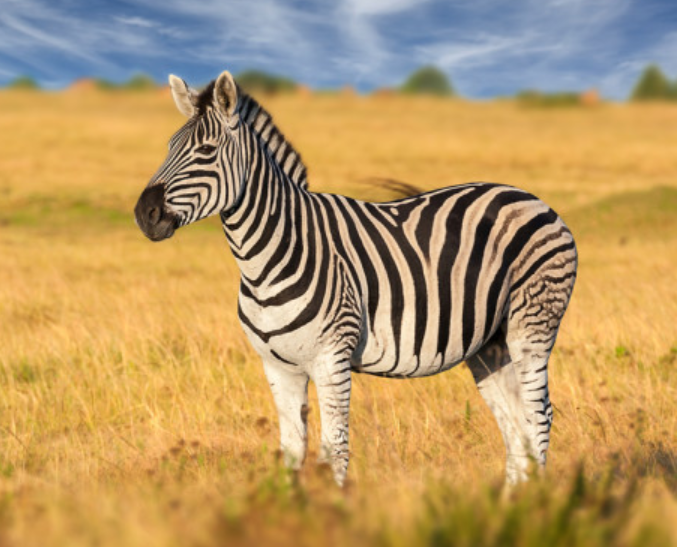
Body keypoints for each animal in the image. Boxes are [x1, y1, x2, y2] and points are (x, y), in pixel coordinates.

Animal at [134, 71, 577, 486]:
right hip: (489, 343)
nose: (144, 214)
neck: (267, 258)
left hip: (532, 324)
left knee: (538, 417)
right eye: (169, 146)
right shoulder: (277, 366)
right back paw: (510, 505)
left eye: (206, 151)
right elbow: (292, 451)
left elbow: (335, 451)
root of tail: (529, 196)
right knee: (515, 424)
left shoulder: (332, 359)